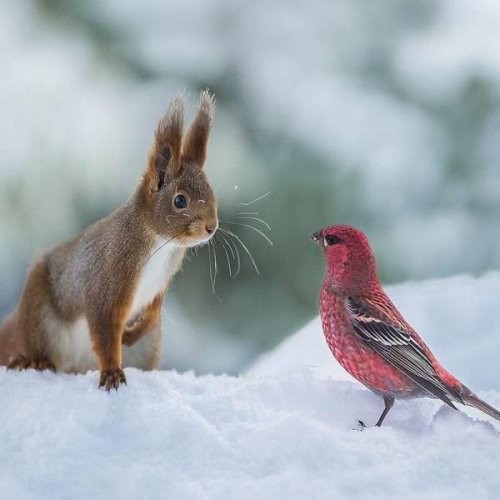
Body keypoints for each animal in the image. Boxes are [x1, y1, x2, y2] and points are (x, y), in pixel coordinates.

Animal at [0, 91, 219, 390]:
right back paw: (32, 360)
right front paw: (113, 372)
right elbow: (104, 328)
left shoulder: (160, 285)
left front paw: (129, 334)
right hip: (40, 317)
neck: (160, 244)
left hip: (147, 346)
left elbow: (152, 312)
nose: (212, 227)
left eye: (211, 191)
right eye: (180, 201)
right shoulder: (108, 278)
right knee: (37, 348)